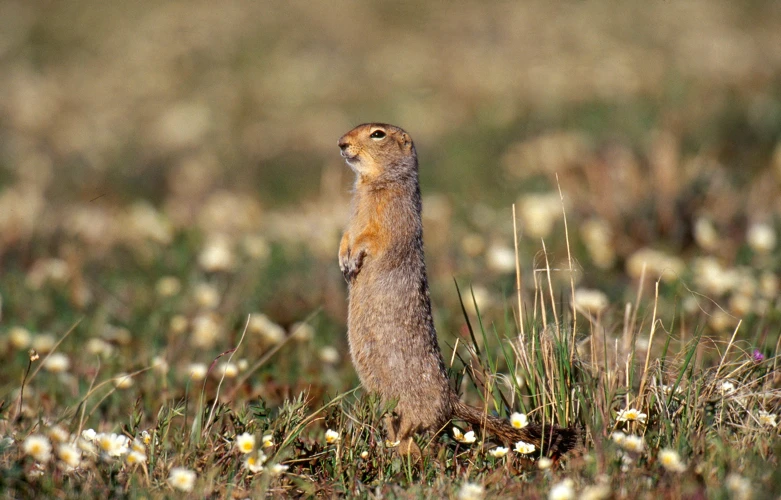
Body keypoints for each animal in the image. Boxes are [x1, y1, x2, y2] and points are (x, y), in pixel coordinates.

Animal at [338, 123, 576, 458]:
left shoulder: (390, 217)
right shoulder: (353, 217)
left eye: (377, 134)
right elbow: (347, 234)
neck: (372, 183)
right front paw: (344, 261)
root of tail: (451, 401)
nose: (341, 143)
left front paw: (354, 259)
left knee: (417, 438)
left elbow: (373, 238)